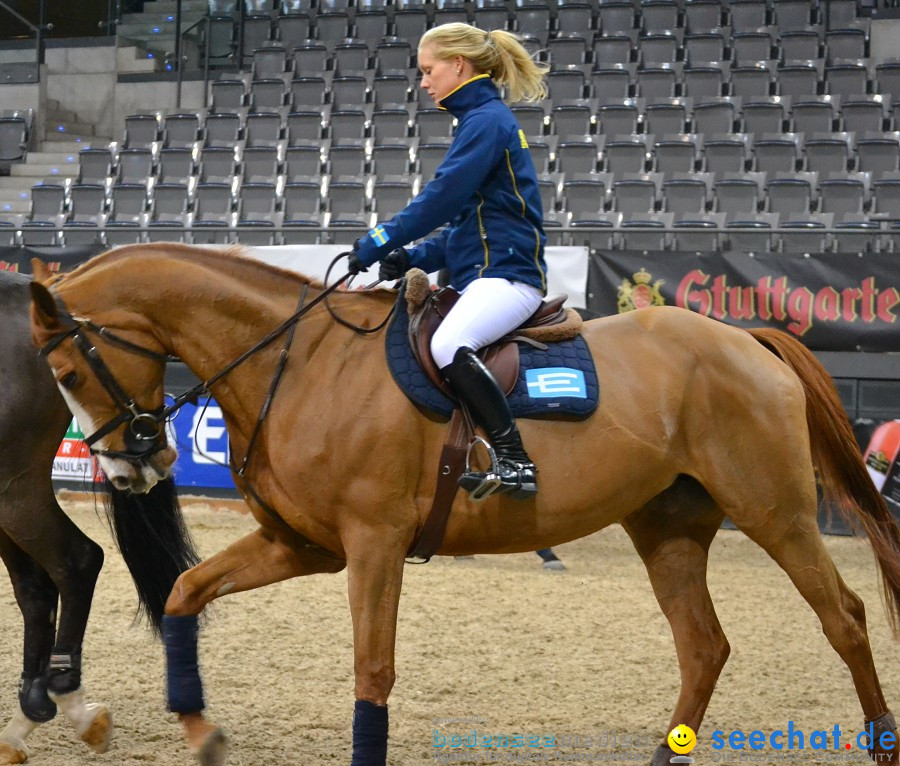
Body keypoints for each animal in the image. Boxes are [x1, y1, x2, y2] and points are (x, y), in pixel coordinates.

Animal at [28, 246, 900, 766]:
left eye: (67, 371)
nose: (132, 467)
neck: (299, 361)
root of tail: (745, 338)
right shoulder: (301, 546)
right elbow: (184, 593)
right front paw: (200, 728)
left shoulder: (373, 545)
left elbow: (372, 669)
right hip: (669, 530)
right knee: (704, 648)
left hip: (776, 515)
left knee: (845, 619)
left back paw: (881, 742)